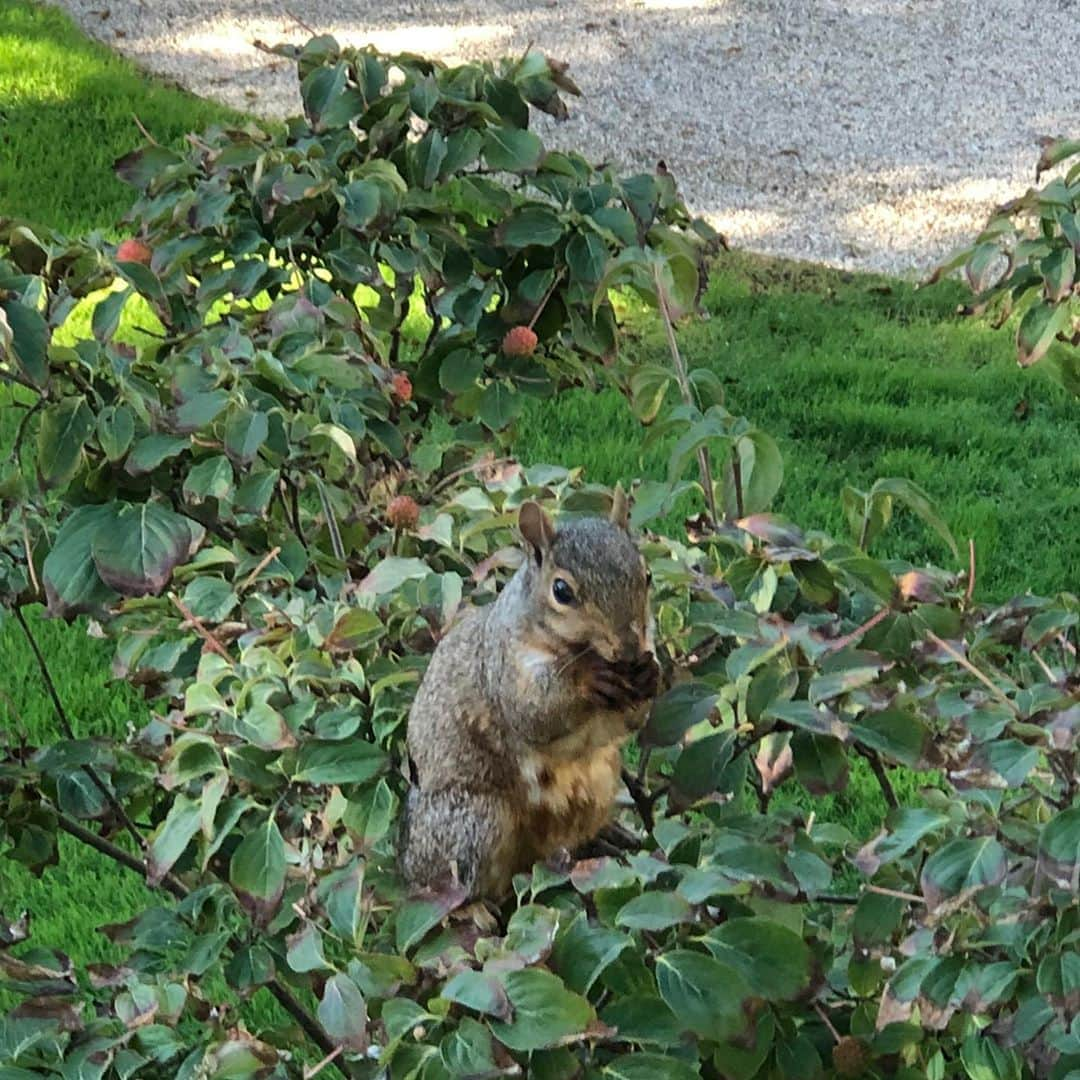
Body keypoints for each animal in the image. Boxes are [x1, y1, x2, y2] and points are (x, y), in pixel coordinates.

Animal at [399, 488, 656, 894]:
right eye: (561, 591)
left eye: (647, 575)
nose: (630, 649)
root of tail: (408, 863)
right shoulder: (505, 668)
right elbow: (533, 714)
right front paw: (588, 677)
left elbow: (628, 722)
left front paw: (650, 674)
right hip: (474, 824)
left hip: (599, 784)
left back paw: (604, 836)